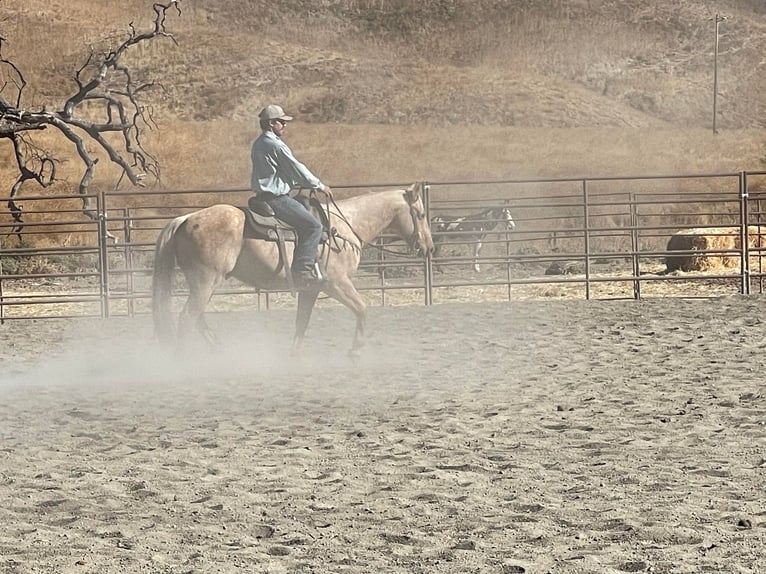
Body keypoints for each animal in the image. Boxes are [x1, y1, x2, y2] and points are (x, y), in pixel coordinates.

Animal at [153, 183, 436, 356]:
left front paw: (294, 356)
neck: (344, 227)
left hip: (202, 284)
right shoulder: (336, 283)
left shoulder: (311, 289)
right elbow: (362, 308)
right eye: (421, 214)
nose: (429, 247)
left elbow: (302, 322)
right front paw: (355, 350)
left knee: (197, 318)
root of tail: (185, 219)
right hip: (206, 281)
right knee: (187, 317)